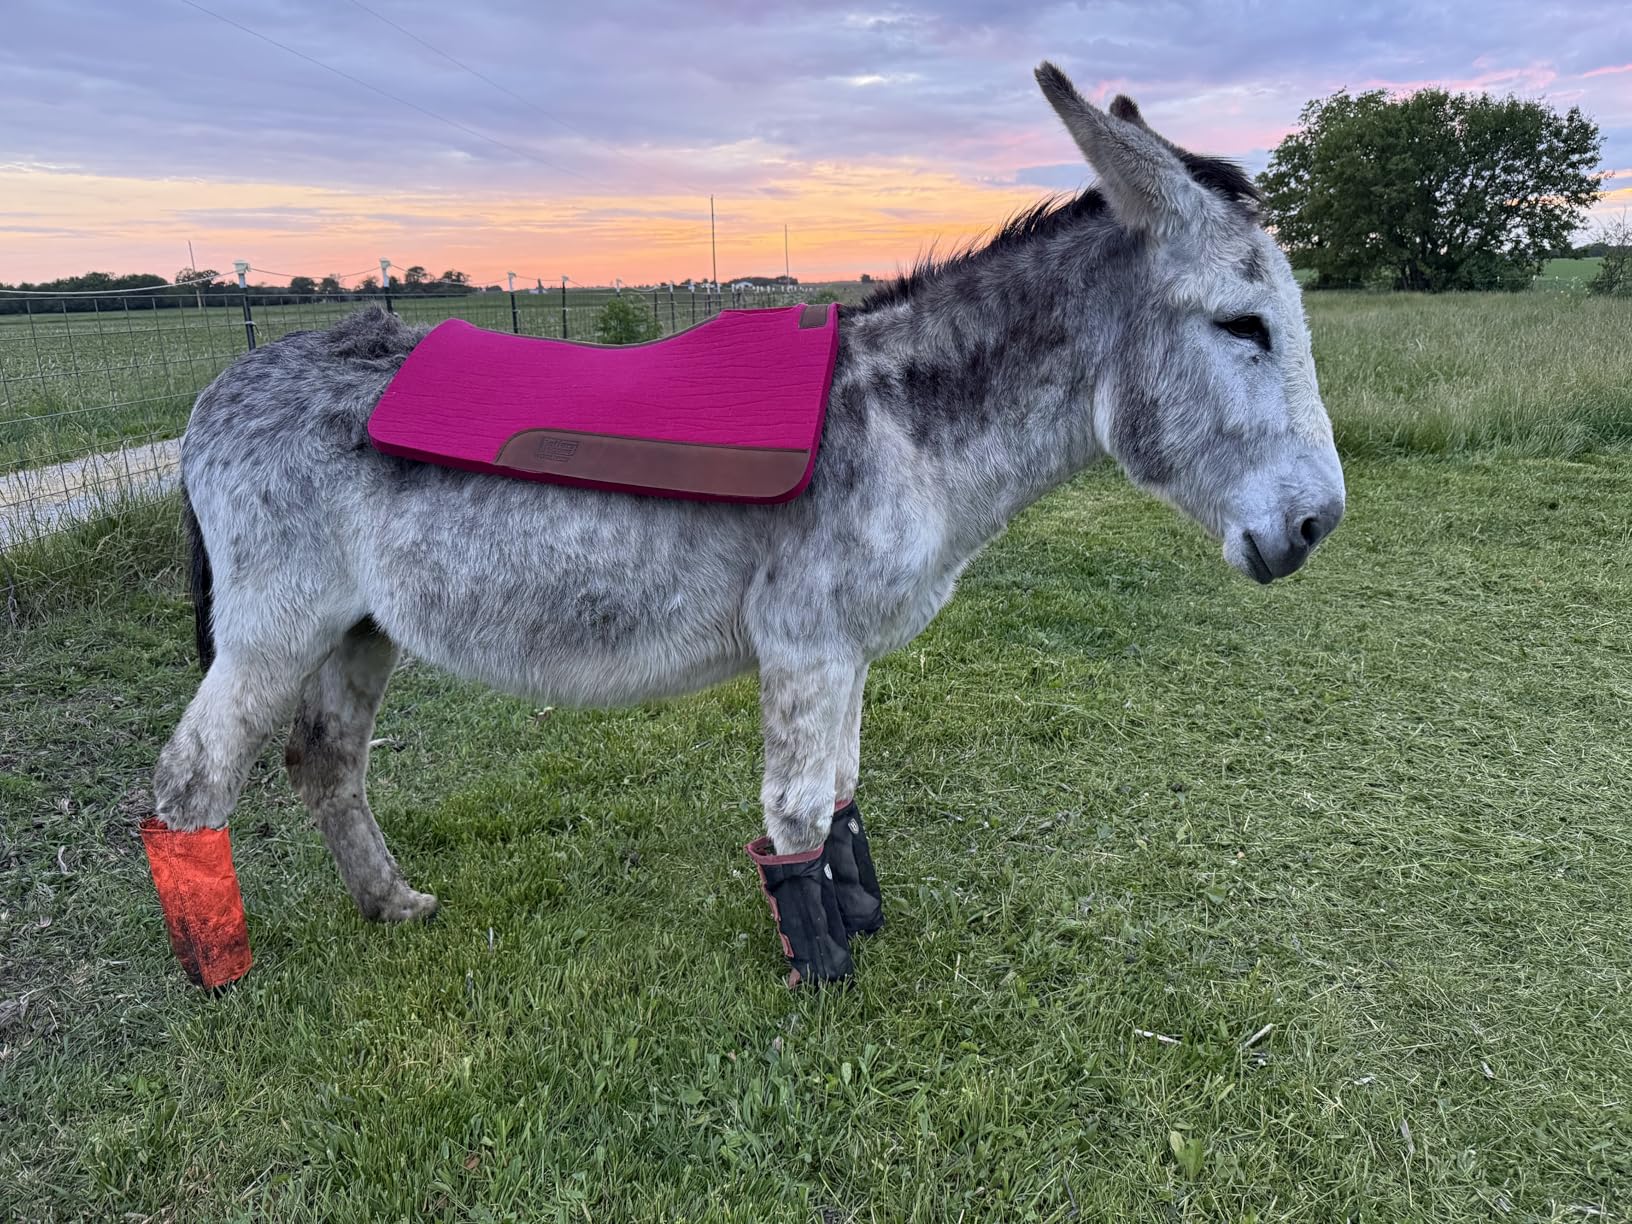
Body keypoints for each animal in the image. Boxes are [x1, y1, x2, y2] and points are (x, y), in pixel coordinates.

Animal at [152, 62, 1345, 984]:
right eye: (1245, 326)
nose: (1318, 526)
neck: (901, 421)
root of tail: (219, 386)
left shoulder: (847, 648)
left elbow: (846, 798)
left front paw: (858, 918)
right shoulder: (806, 642)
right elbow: (800, 815)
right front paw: (823, 974)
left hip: (358, 627)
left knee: (325, 762)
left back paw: (390, 904)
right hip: (274, 626)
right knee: (191, 781)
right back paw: (222, 974)